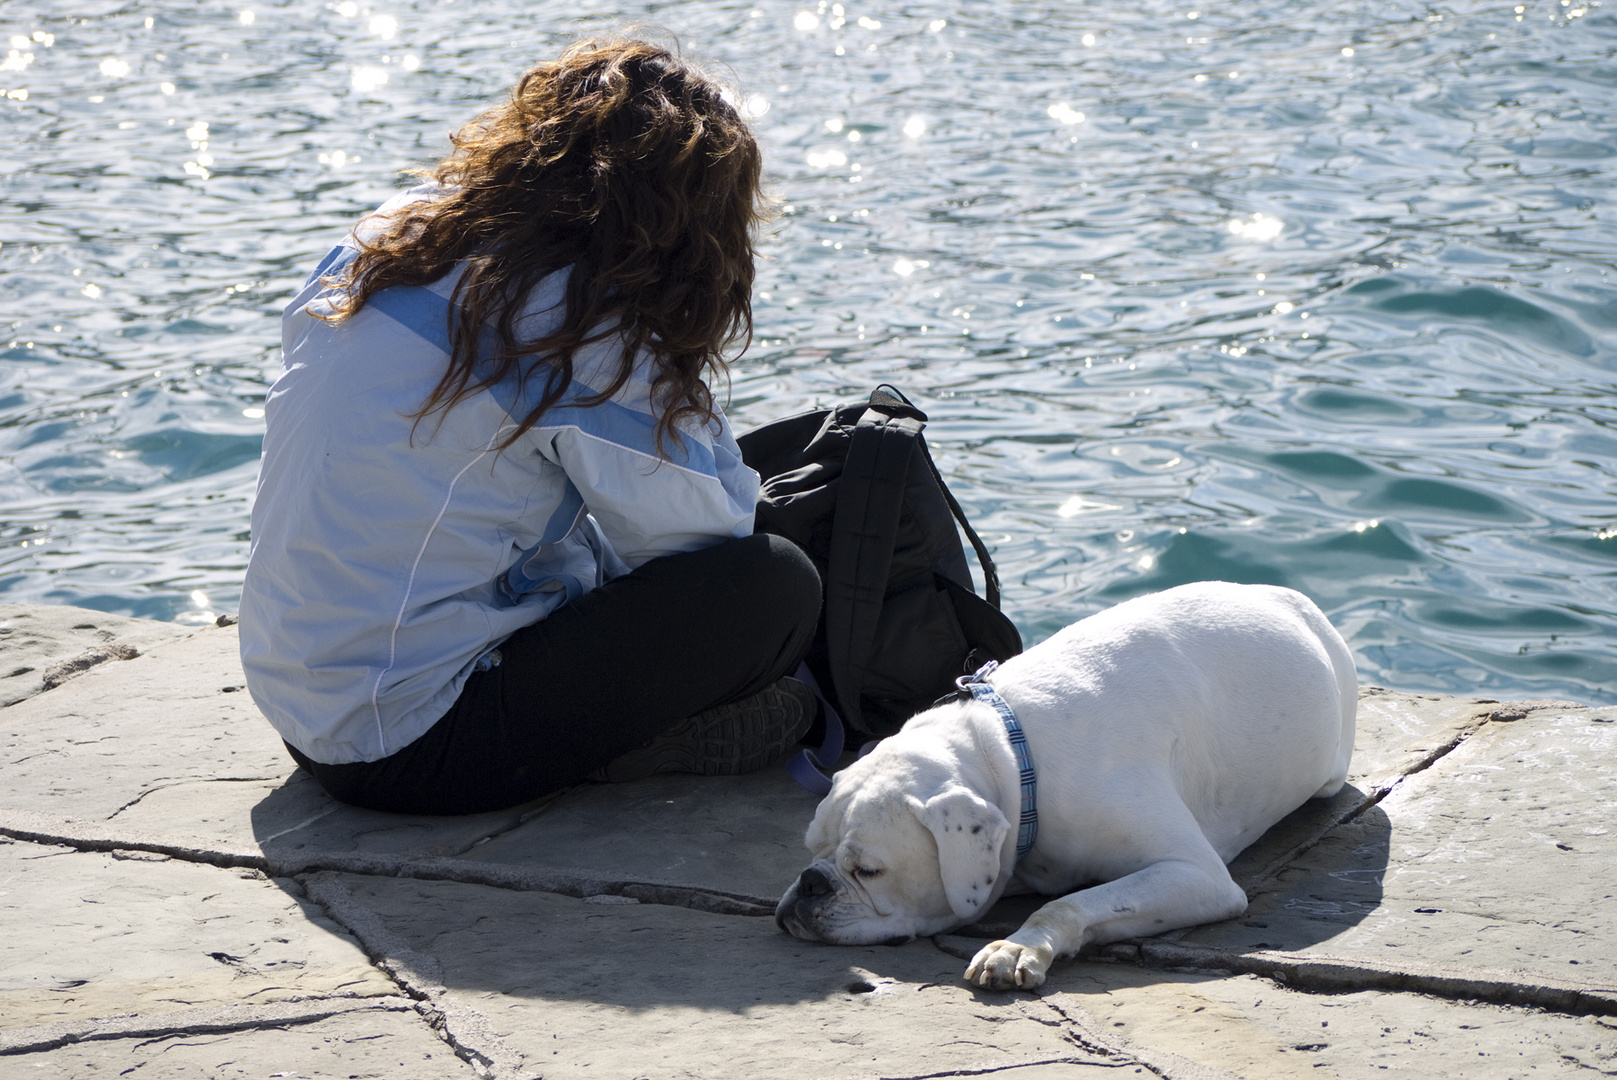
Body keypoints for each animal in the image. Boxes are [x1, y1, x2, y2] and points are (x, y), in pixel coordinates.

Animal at [776, 582, 1358, 989]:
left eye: (869, 871)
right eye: (809, 850)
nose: (810, 883)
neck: (1011, 758)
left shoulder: (1197, 876)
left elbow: (1072, 902)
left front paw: (1018, 948)